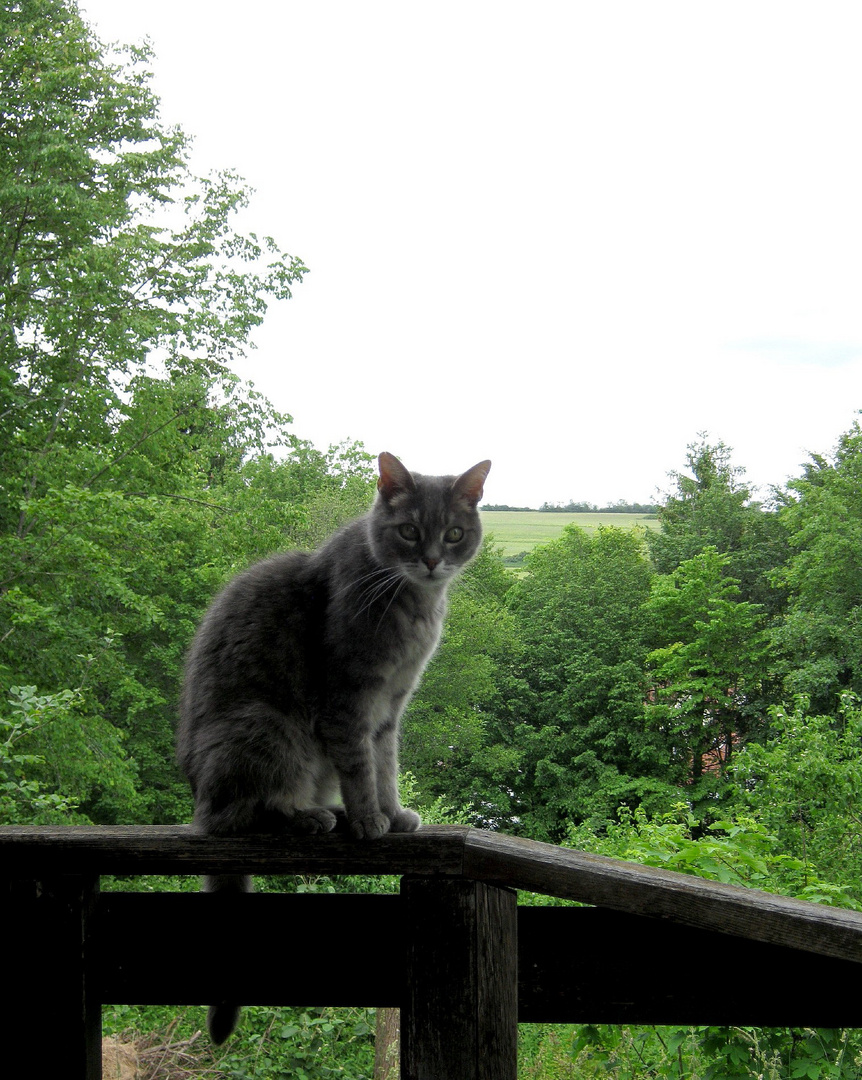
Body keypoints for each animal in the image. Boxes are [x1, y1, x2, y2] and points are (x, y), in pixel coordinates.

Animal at [174, 449, 492, 1045]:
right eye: (409, 531)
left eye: (455, 533)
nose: (432, 561)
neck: (412, 602)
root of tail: (197, 794)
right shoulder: (347, 699)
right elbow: (361, 765)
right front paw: (369, 819)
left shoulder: (391, 706)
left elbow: (386, 763)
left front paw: (392, 813)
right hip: (269, 729)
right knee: (240, 815)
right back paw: (311, 817)